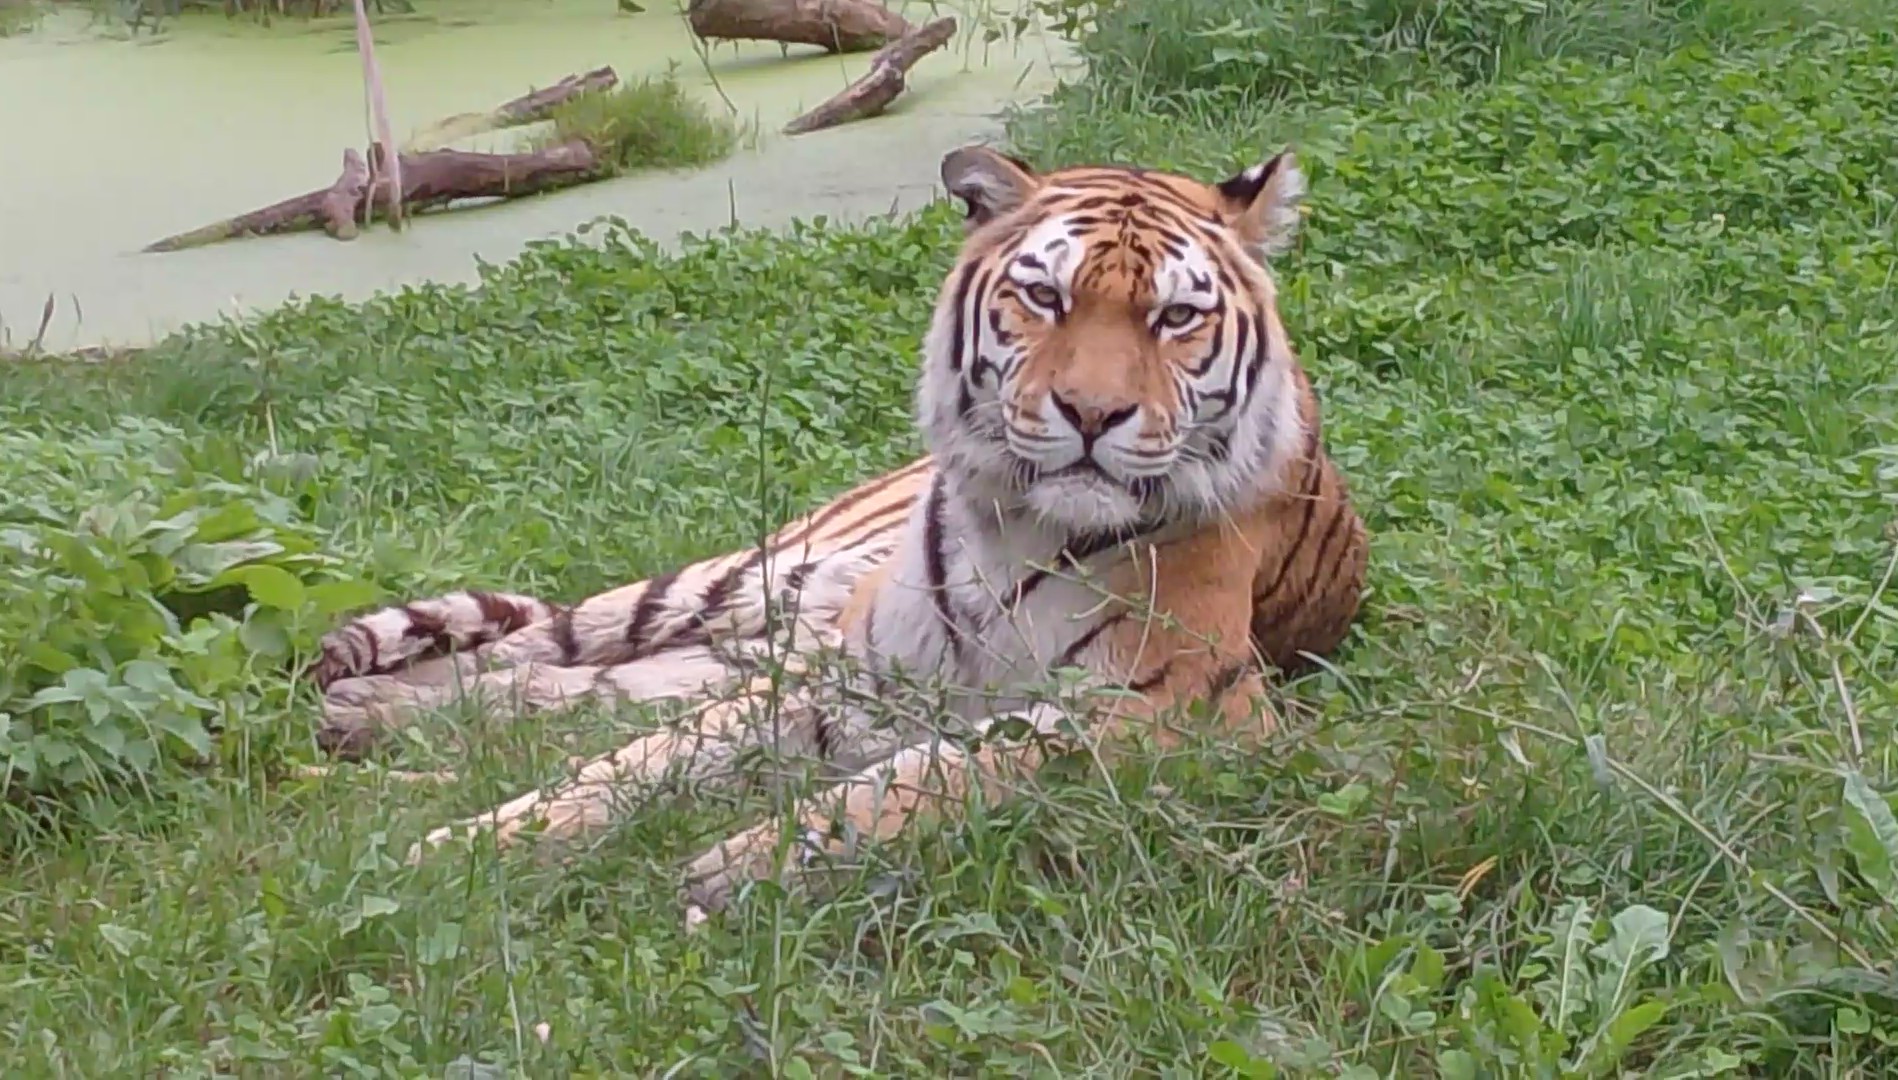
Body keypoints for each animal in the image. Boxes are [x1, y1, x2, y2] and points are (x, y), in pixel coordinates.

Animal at [307, 144, 1370, 925]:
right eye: (1046, 297)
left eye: (1176, 316)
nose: (1092, 414)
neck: (1016, 527)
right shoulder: (849, 677)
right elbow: (639, 763)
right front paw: (470, 846)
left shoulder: (1171, 712)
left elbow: (955, 768)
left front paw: (736, 863)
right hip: (756, 581)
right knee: (558, 647)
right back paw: (359, 708)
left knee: (580, 688)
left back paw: (368, 719)